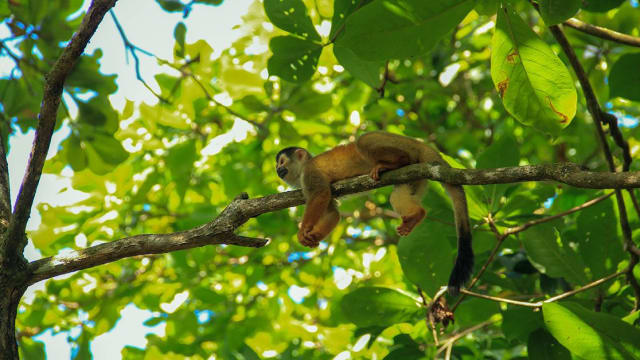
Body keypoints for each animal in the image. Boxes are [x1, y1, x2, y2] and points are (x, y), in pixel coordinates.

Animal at [272, 131, 472, 294]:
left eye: (281, 162)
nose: (277, 170)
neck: (301, 172)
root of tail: (418, 142)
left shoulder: (310, 172)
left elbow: (321, 194)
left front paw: (303, 230)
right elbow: (332, 213)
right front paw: (313, 236)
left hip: (399, 144)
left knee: (364, 141)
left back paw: (395, 161)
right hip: (417, 175)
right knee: (398, 195)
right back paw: (416, 215)